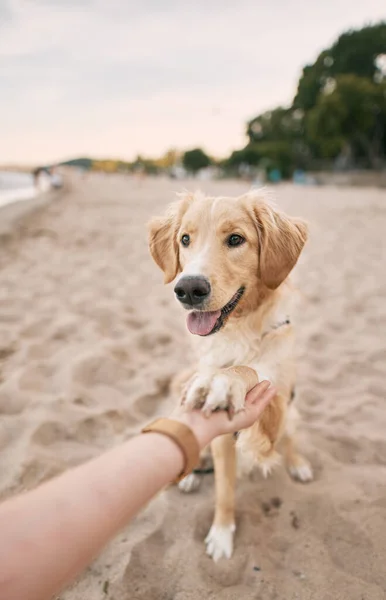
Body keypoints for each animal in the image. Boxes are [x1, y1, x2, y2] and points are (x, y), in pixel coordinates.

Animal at [148, 191, 314, 564]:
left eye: (236, 239)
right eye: (185, 239)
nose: (188, 289)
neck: (240, 330)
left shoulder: (276, 401)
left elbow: (250, 371)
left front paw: (224, 383)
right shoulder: (223, 438)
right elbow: (224, 490)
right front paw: (222, 534)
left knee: (292, 437)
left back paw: (298, 464)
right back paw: (192, 474)